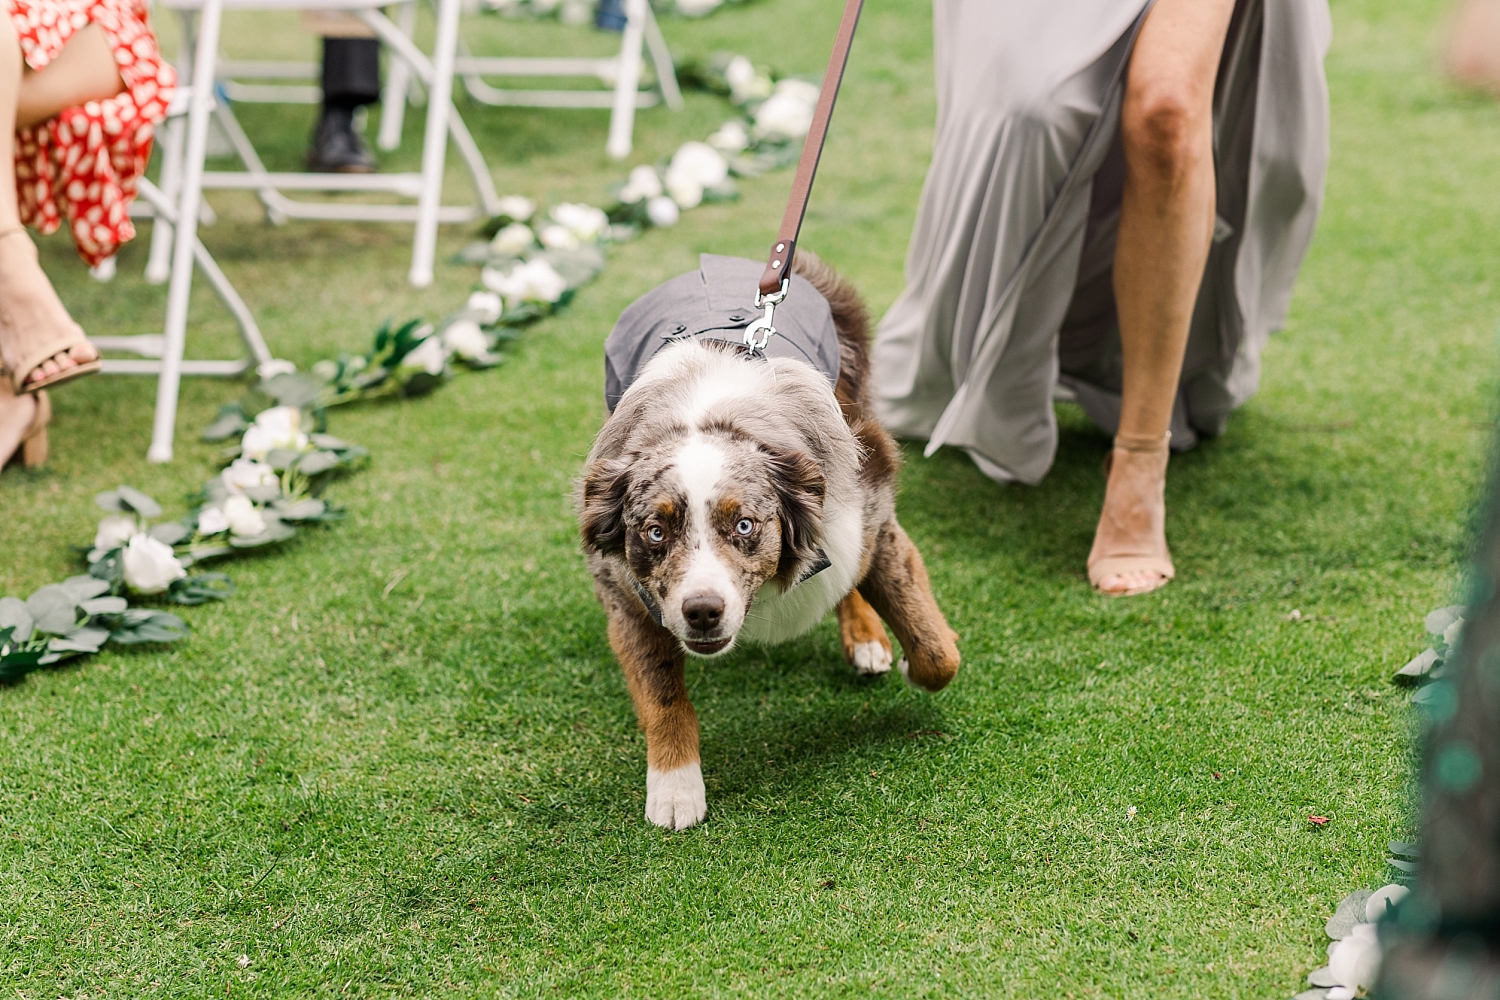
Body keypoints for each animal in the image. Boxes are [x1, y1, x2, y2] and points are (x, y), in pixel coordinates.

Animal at [573, 250, 960, 827]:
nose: (702, 611)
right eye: (656, 531)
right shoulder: (626, 591)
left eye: (744, 525)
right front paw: (674, 787)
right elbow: (661, 693)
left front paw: (917, 662)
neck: (710, 417)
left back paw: (866, 637)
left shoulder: (870, 510)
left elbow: (937, 652)